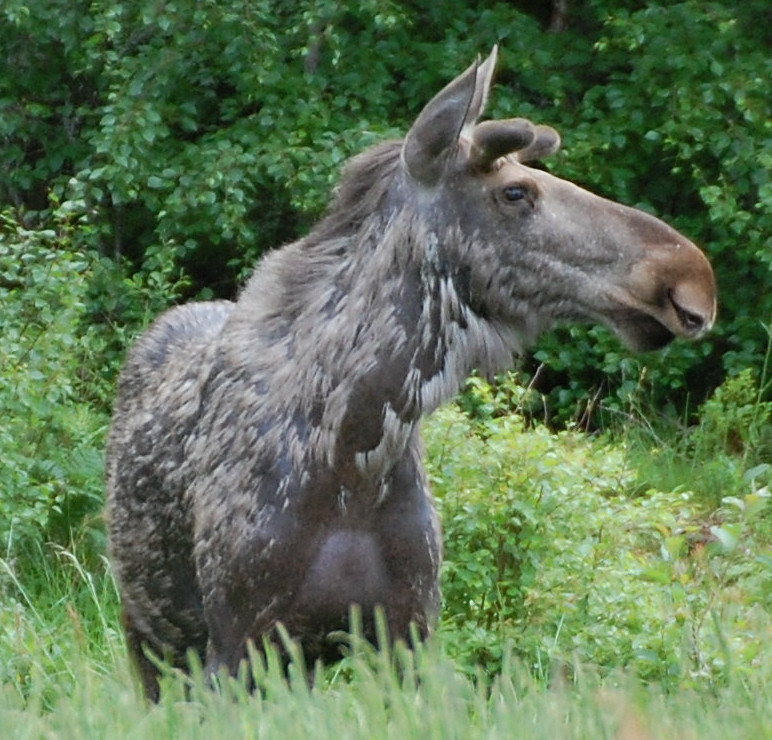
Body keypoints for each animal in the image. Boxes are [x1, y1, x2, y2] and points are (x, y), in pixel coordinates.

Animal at [105, 47, 716, 700]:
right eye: (516, 192)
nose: (690, 276)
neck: (353, 457)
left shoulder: (407, 632)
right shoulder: (239, 644)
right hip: (151, 642)